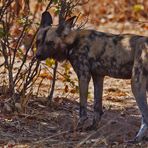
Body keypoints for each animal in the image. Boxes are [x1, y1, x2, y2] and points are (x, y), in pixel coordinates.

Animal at [36, 11, 148, 142]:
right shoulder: (98, 76)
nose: (37, 55)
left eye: (50, 43)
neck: (73, 42)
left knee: (145, 116)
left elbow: (82, 108)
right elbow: (97, 107)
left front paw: (78, 127)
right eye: (38, 41)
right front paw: (93, 127)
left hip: (136, 85)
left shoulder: (84, 76)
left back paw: (137, 138)